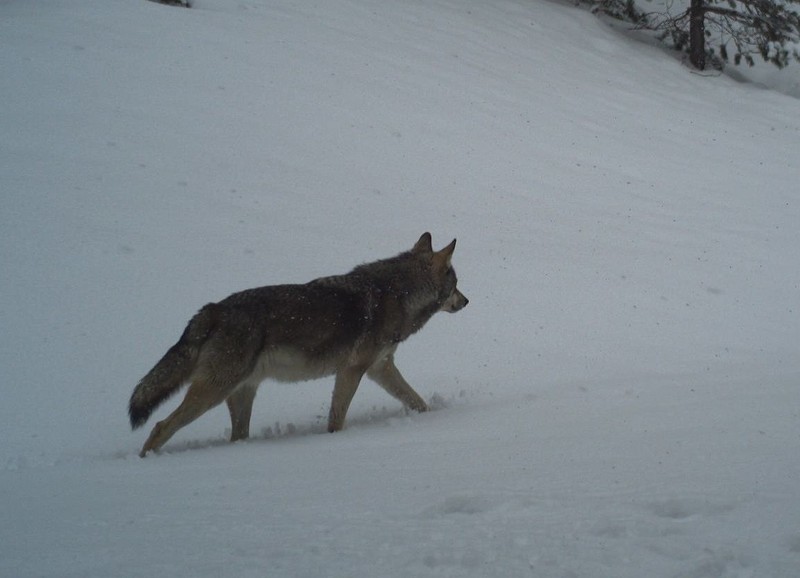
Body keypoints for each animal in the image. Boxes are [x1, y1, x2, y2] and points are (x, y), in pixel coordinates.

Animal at [127, 233, 466, 454]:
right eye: (457, 285)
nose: (467, 301)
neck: (398, 293)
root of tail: (213, 309)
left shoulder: (381, 368)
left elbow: (417, 401)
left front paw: (432, 418)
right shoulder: (352, 370)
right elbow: (337, 418)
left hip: (240, 393)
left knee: (237, 436)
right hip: (212, 392)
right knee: (161, 427)